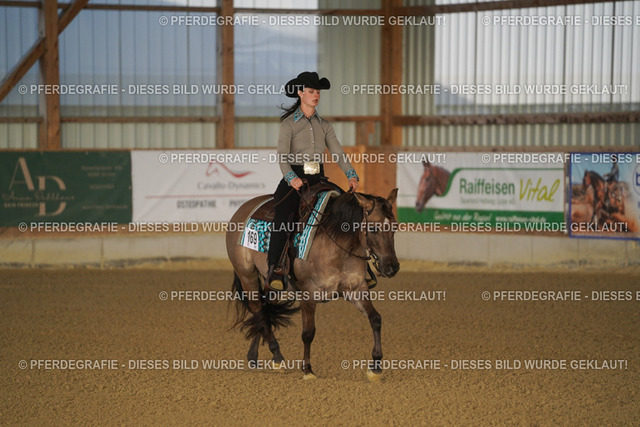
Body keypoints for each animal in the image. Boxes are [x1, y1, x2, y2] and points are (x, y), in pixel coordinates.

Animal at [226, 187, 400, 381]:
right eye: (373, 227)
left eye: (395, 226)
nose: (392, 268)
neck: (338, 245)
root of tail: (243, 208)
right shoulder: (309, 294)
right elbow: (308, 332)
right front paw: (307, 370)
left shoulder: (356, 289)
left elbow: (375, 319)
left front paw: (375, 367)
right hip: (246, 275)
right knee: (258, 309)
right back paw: (277, 357)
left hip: (274, 285)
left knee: (265, 311)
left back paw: (254, 356)